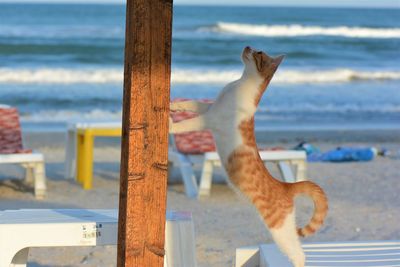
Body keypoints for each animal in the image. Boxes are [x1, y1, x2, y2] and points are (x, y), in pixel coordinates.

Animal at [169, 47, 328, 266]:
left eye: (259, 52)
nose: (247, 46)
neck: (240, 82)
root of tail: (286, 186)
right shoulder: (209, 108)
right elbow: (191, 103)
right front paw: (173, 106)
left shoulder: (210, 119)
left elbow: (186, 124)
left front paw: (170, 125)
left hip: (281, 231)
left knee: (299, 254)